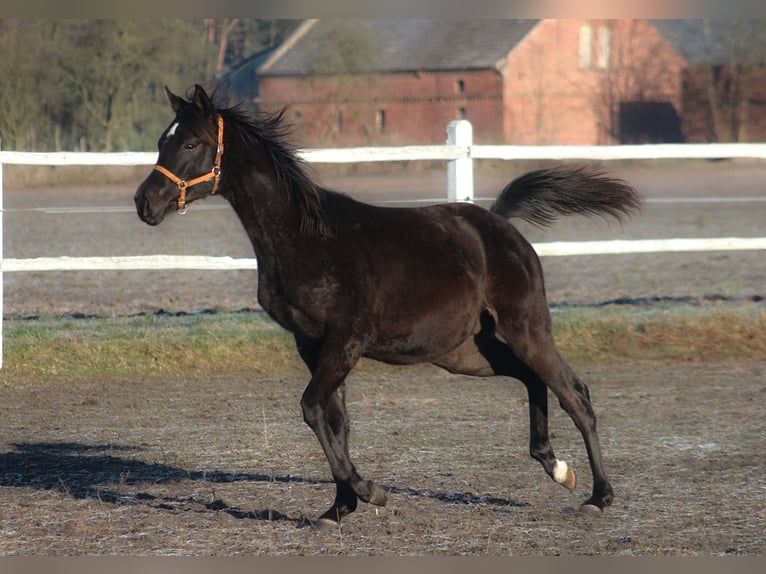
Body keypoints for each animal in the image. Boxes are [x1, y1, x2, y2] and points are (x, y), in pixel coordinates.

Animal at [134, 84, 643, 530]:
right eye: (162, 141)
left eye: (191, 142)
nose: (145, 203)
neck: (304, 237)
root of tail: (499, 224)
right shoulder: (311, 343)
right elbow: (335, 421)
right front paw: (338, 508)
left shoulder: (346, 339)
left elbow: (312, 408)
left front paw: (369, 491)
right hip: (464, 351)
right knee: (531, 378)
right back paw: (556, 467)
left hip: (526, 326)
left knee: (573, 392)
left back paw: (598, 496)